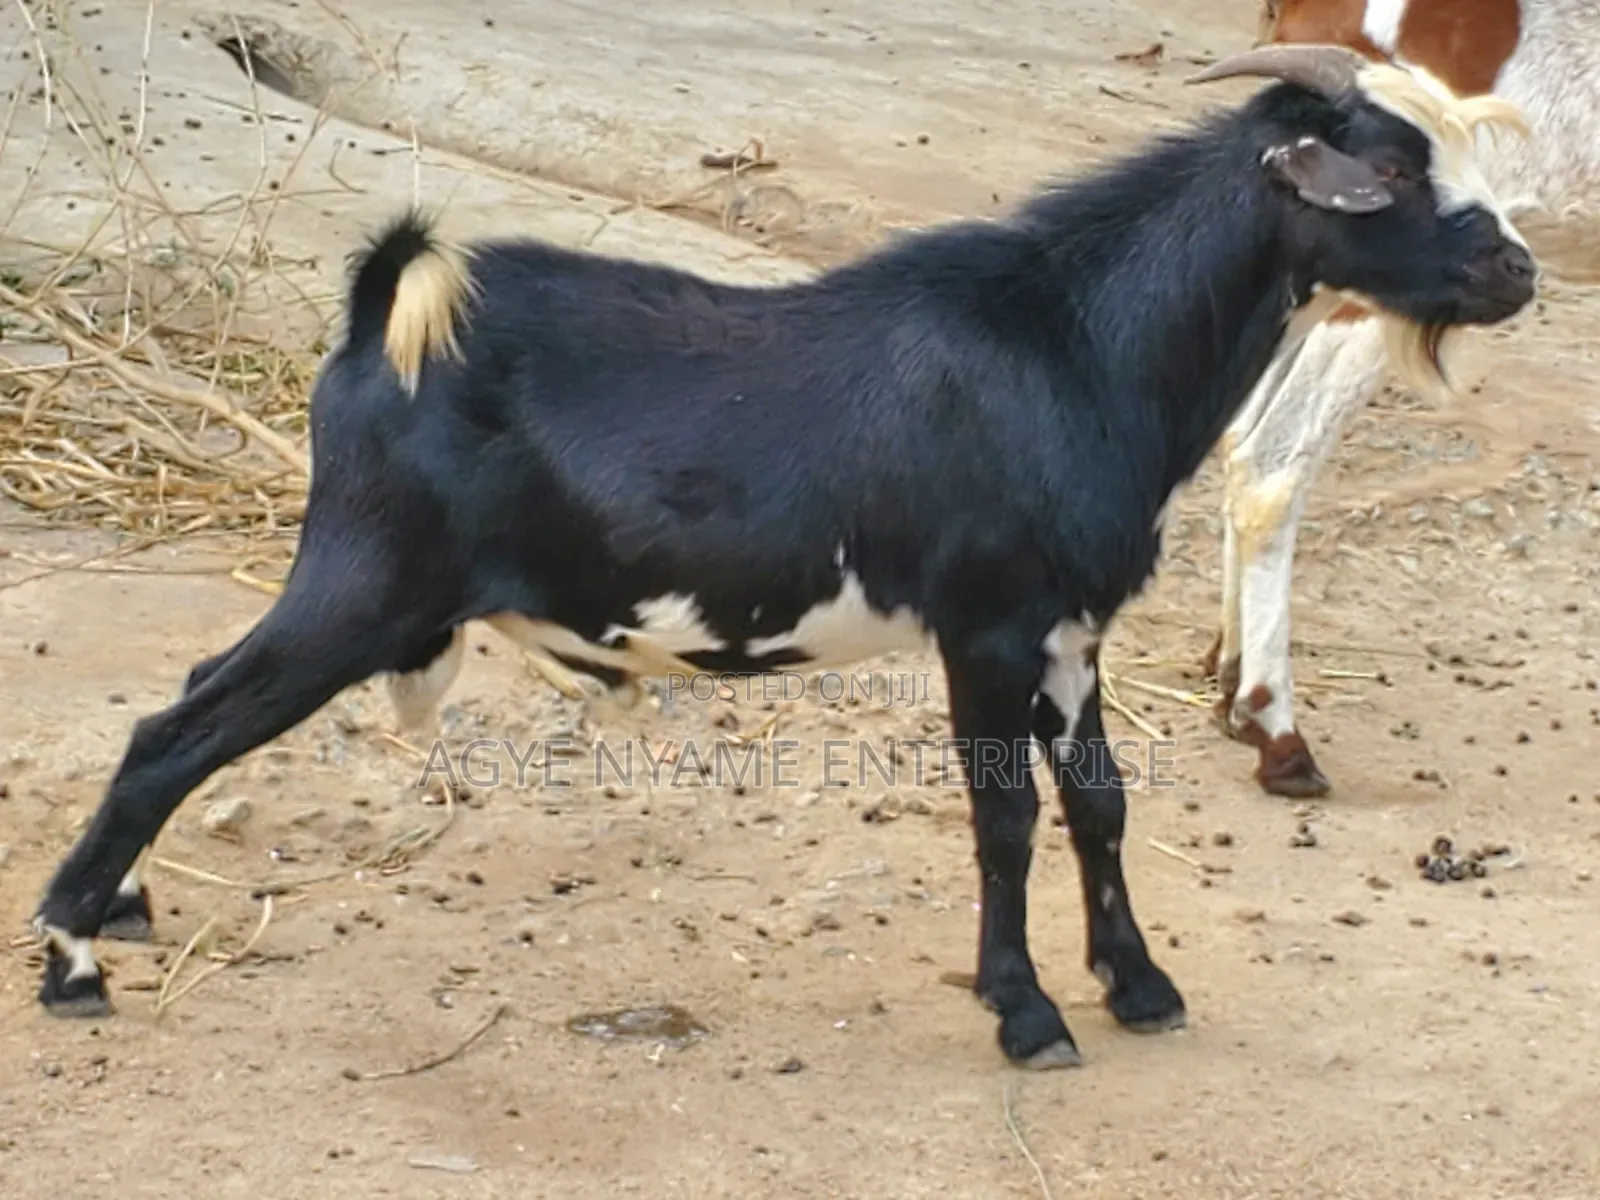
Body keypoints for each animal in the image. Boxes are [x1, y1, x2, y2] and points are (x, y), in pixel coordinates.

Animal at [31, 45, 1536, 1070]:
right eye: (1390, 172)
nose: (1518, 274)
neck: (1072, 344)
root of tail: (374, 327)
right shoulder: (987, 621)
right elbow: (1004, 819)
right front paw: (1029, 1013)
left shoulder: (1071, 629)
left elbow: (1100, 806)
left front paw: (1141, 988)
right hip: (362, 582)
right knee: (174, 731)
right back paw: (70, 957)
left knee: (192, 697)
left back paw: (117, 913)